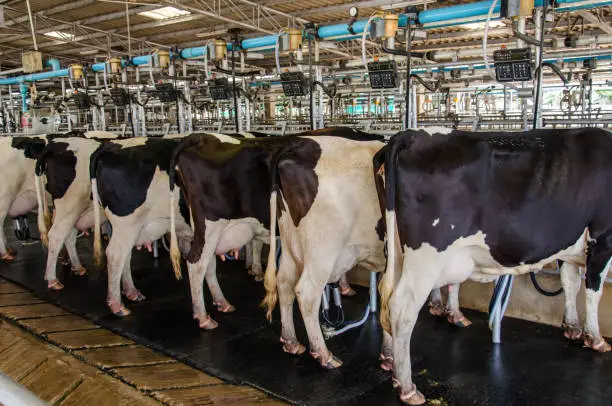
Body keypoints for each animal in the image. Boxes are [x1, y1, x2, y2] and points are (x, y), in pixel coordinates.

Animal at [378, 128, 612, 404]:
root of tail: (414, 135)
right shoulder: (603, 236)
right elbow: (593, 290)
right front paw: (595, 337)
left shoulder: (569, 242)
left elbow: (570, 283)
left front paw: (572, 327)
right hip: (426, 257)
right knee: (401, 307)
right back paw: (407, 386)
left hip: (395, 250)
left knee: (385, 293)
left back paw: (389, 358)